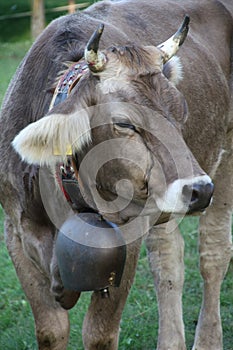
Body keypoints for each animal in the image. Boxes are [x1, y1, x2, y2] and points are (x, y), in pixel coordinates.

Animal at [0, 0, 233, 350]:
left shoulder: (126, 238)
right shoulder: (15, 231)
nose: (199, 189)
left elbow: (99, 334)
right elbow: (51, 330)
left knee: (213, 254)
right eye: (124, 123)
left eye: (182, 112)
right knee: (168, 258)